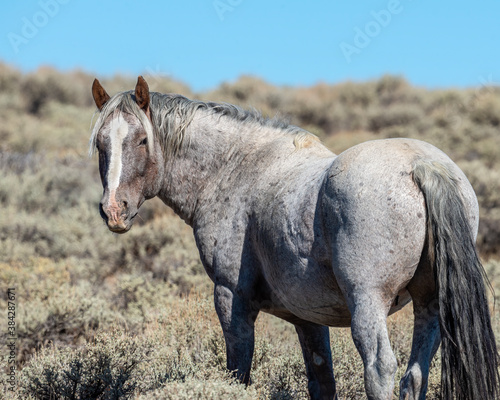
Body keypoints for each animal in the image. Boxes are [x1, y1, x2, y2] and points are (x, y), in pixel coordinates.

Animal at [91, 76, 500, 398]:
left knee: (380, 368)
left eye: (142, 140)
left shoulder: (231, 297)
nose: (113, 210)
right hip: (430, 305)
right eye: (101, 144)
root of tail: (420, 165)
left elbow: (238, 373)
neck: (236, 167)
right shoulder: (309, 320)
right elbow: (322, 381)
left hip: (368, 303)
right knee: (414, 376)